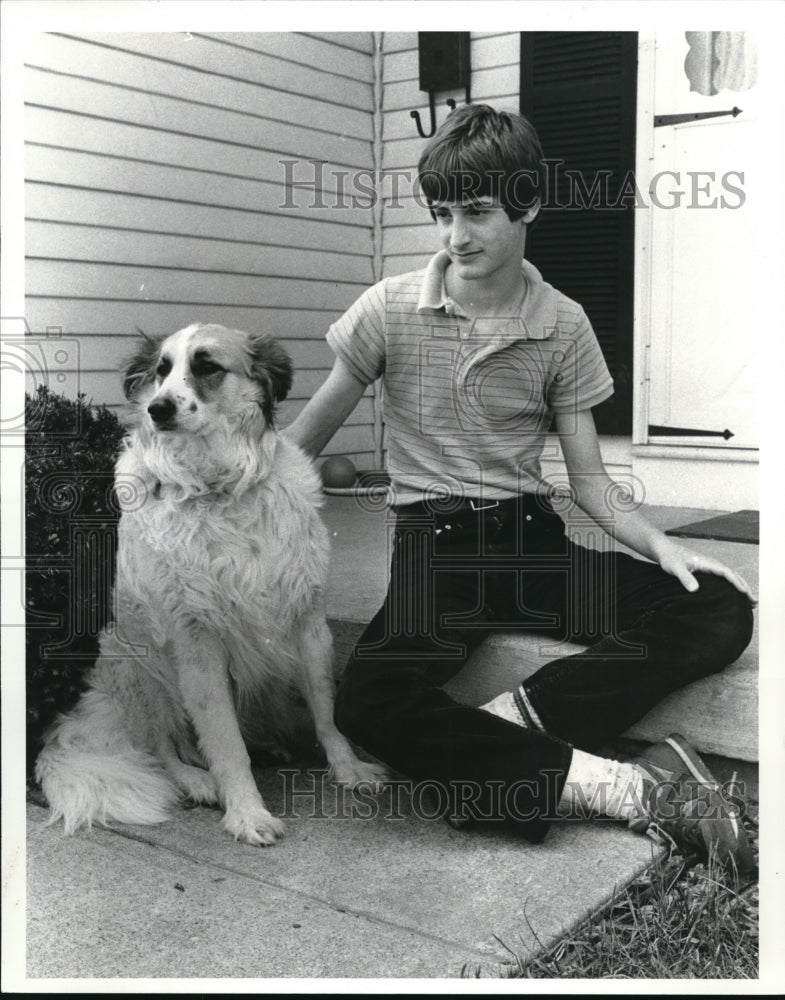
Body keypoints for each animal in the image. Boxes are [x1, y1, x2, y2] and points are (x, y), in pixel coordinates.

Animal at [35, 324, 384, 848]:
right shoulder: (197, 642)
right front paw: (246, 811)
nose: (158, 408)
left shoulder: (309, 622)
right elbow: (225, 741)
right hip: (138, 665)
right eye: (161, 370)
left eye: (207, 367)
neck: (219, 486)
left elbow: (327, 710)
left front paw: (348, 769)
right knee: (163, 748)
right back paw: (200, 781)